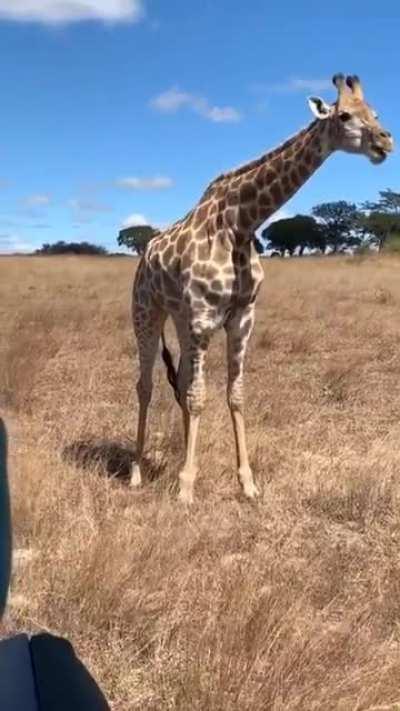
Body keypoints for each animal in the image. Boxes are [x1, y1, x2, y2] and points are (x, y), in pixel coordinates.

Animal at [131, 73, 393, 504]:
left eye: (375, 112)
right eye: (343, 115)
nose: (385, 143)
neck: (241, 224)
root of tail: (145, 252)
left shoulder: (241, 317)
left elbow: (232, 394)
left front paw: (246, 483)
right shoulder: (204, 317)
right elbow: (200, 397)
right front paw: (186, 488)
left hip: (182, 321)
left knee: (181, 382)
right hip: (147, 312)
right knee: (146, 385)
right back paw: (137, 472)